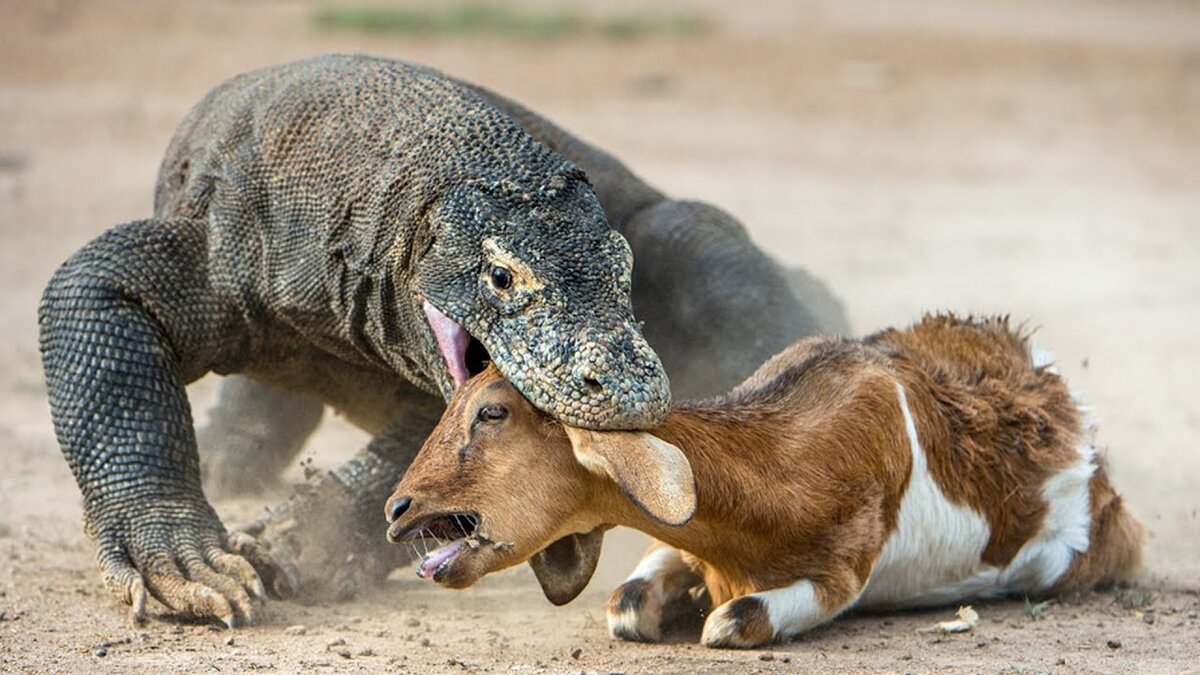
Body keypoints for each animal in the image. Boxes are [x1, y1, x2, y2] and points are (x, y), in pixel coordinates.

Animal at [384, 314, 1142, 648]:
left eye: (493, 411)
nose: (397, 508)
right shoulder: (681, 542)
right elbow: (626, 601)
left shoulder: (840, 573)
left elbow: (734, 621)